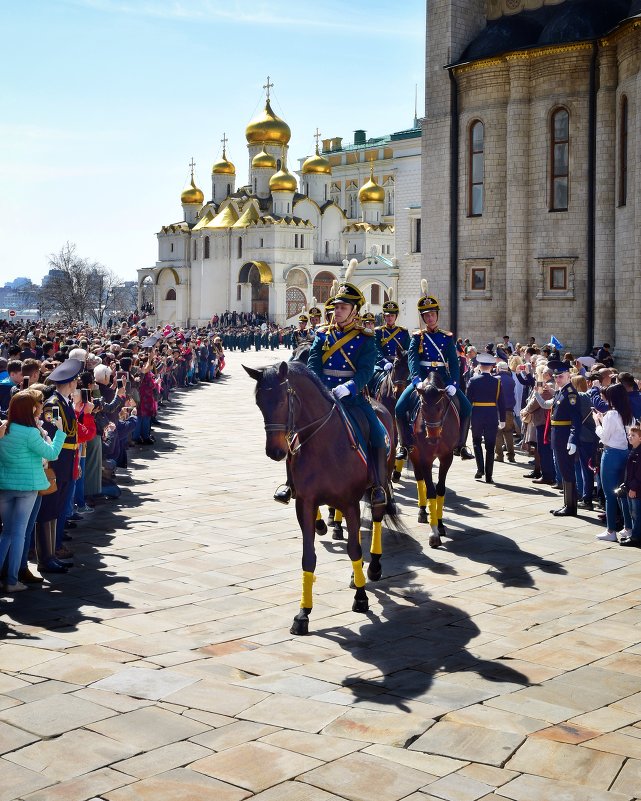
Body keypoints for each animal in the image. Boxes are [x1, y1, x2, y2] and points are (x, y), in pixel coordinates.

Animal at [244, 360, 398, 636]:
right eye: (259, 402)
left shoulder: (349, 502)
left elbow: (354, 549)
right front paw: (303, 613)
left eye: (283, 400)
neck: (323, 444)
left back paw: (373, 567)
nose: (275, 451)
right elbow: (309, 557)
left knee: (377, 519)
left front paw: (361, 598)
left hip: (379, 482)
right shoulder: (305, 504)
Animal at [408, 372, 458, 548]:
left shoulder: (447, 457)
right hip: (414, 454)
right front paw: (434, 532)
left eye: (440, 408)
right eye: (422, 407)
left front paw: (441, 524)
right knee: (419, 478)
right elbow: (430, 491)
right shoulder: (425, 458)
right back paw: (423, 511)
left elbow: (440, 489)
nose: (432, 439)